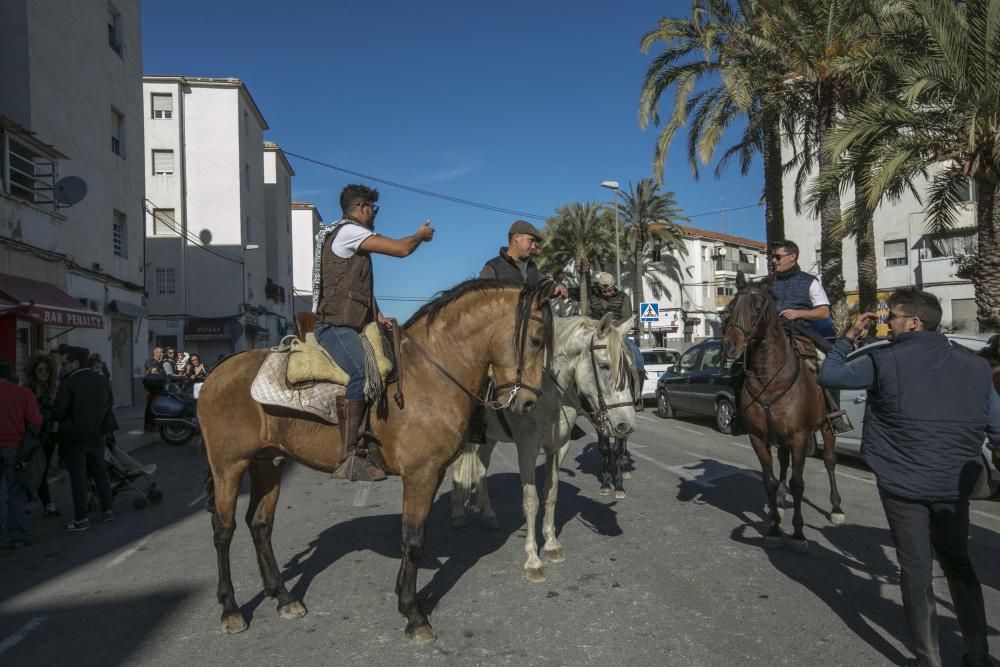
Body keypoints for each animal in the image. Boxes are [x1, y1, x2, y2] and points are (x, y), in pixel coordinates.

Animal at [195, 280, 556, 640]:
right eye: (537, 340)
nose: (527, 402)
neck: (429, 374)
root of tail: (218, 370)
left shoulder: (433, 474)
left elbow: (414, 534)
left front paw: (403, 596)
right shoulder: (421, 475)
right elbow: (413, 540)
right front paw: (413, 613)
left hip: (268, 463)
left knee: (260, 524)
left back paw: (283, 597)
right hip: (228, 466)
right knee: (223, 530)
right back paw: (231, 609)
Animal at [452, 316, 636, 580]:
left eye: (630, 368)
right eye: (604, 365)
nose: (626, 424)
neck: (548, 391)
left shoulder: (558, 448)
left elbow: (551, 494)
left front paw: (551, 545)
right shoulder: (527, 449)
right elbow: (531, 501)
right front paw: (532, 560)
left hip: (489, 438)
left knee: (480, 468)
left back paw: (489, 515)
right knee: (458, 469)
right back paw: (458, 513)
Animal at [720, 272, 844, 552]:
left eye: (757, 308)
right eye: (731, 308)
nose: (730, 346)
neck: (770, 377)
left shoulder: (800, 437)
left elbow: (799, 483)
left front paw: (798, 533)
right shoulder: (758, 437)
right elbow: (770, 480)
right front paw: (775, 527)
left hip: (826, 427)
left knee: (830, 460)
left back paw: (836, 507)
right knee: (784, 462)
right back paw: (781, 498)